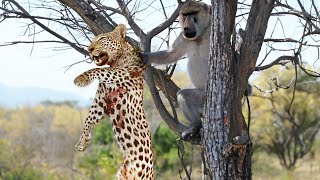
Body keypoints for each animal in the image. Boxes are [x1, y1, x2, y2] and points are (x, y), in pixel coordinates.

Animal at [75, 24, 155, 180]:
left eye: (102, 39)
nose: (89, 49)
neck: (115, 61)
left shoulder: (123, 73)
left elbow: (99, 70)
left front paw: (81, 79)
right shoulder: (100, 101)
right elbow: (89, 118)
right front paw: (83, 141)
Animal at [141, 0, 211, 138]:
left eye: (193, 13)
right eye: (185, 15)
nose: (186, 26)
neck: (200, 36)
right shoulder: (183, 37)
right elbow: (171, 54)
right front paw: (145, 57)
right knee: (182, 95)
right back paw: (195, 126)